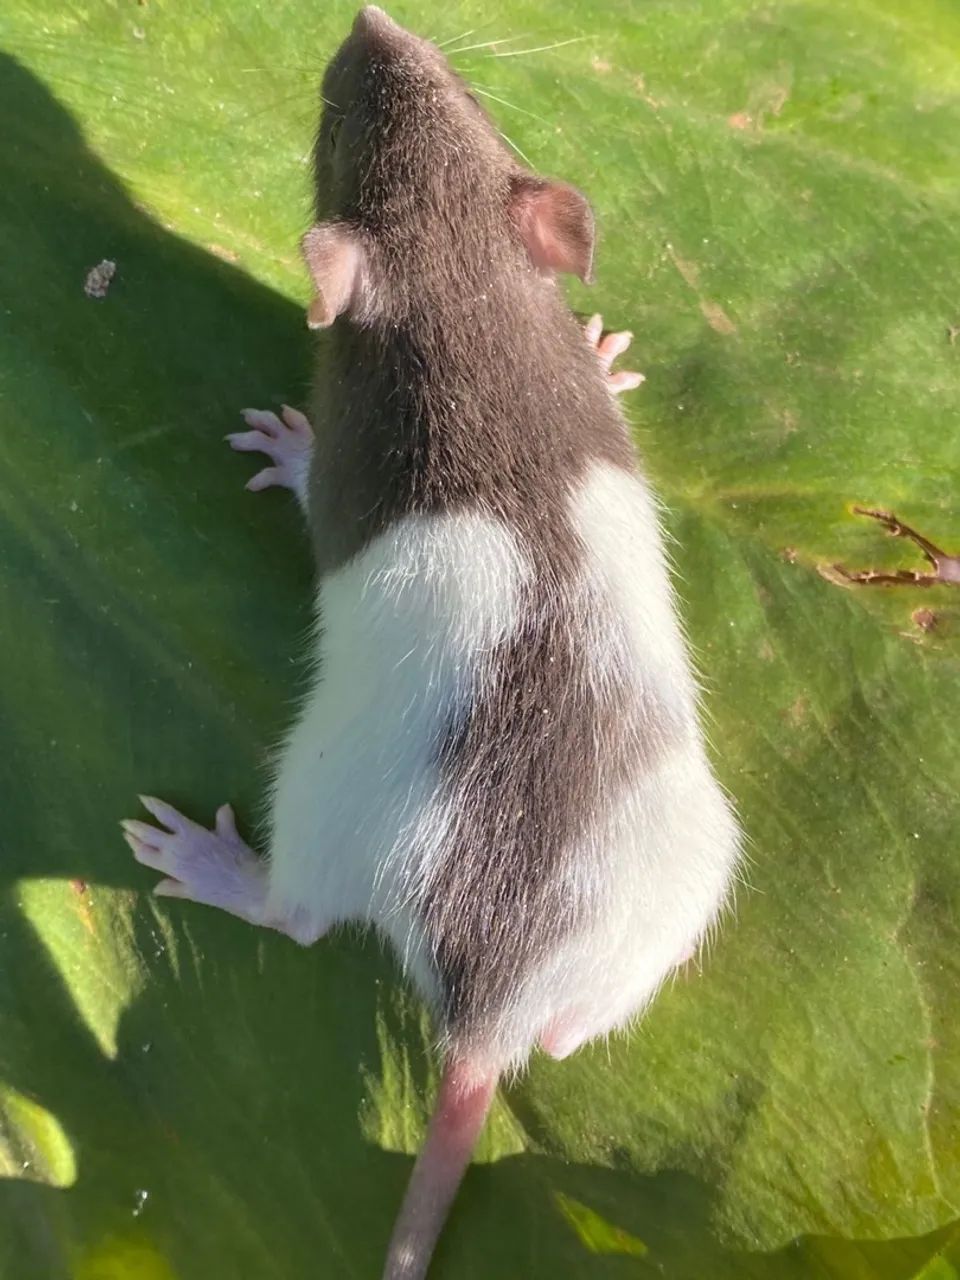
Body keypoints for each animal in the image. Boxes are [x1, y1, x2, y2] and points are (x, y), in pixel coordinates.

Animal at [123, 8, 741, 1278]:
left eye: (330, 135)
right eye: (473, 107)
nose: (370, 23)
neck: (463, 281)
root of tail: (490, 1009)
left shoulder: (358, 445)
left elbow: (318, 487)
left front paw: (288, 449)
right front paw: (605, 350)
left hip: (322, 803)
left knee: (300, 914)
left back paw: (217, 867)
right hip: (688, 870)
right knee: (572, 1033)